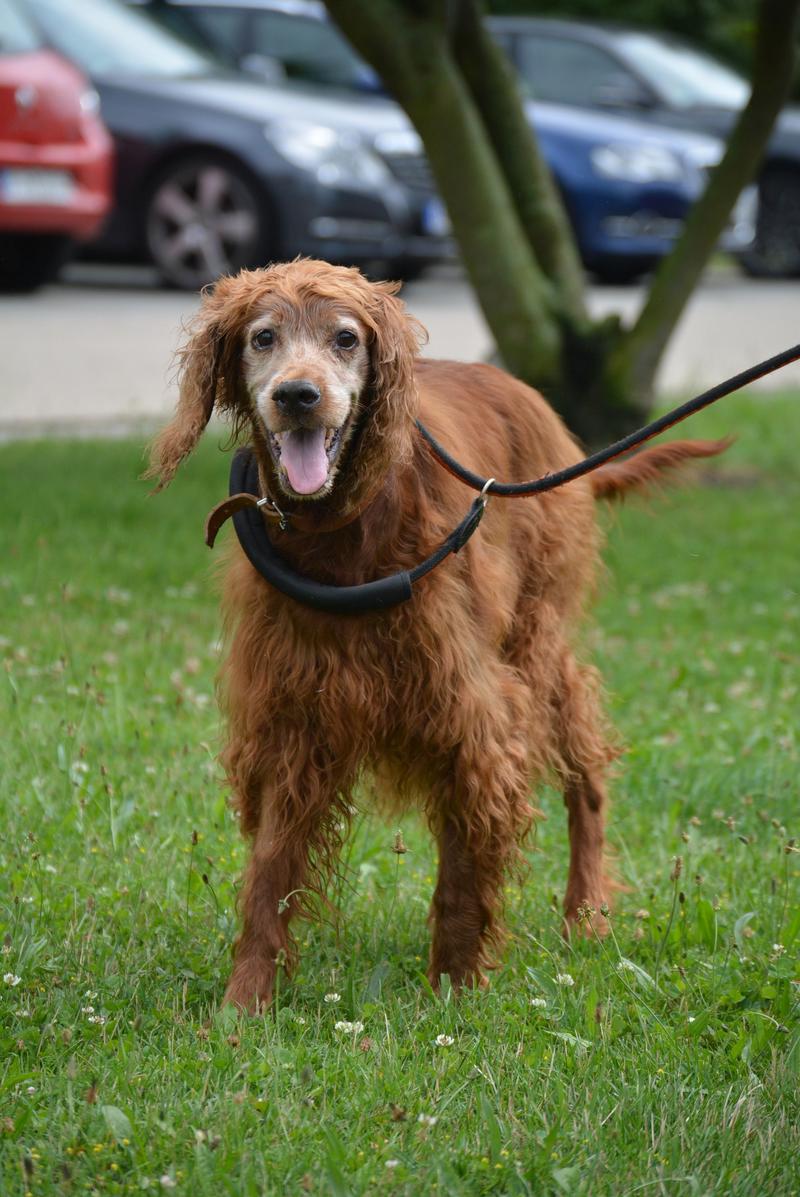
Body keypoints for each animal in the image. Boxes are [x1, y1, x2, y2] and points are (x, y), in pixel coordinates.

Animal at [148, 254, 723, 1010]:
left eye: (344, 338)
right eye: (263, 337)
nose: (299, 396)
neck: (343, 534)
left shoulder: (470, 711)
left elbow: (462, 869)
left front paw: (456, 982)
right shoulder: (292, 714)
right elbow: (270, 871)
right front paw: (245, 1000)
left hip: (536, 648)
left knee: (587, 772)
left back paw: (587, 912)